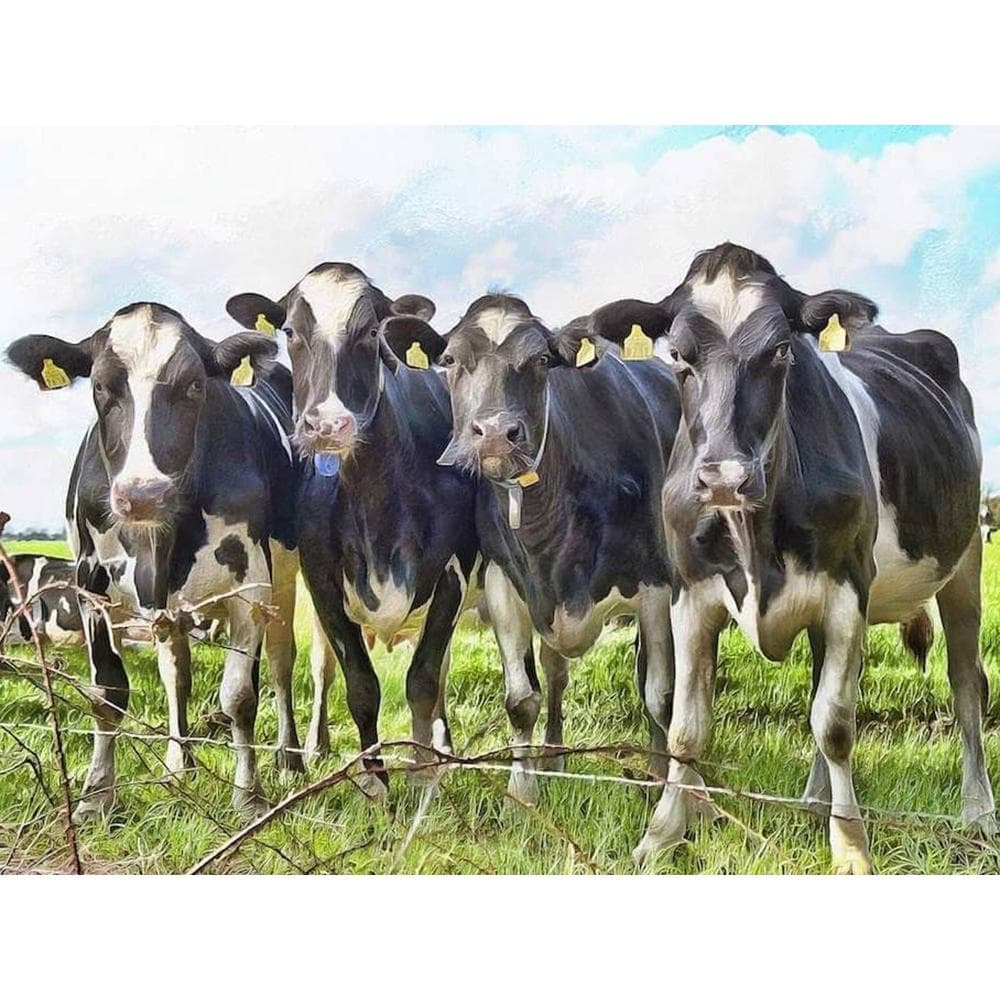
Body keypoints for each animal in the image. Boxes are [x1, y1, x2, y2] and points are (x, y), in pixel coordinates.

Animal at [6, 302, 304, 819]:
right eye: (100, 386)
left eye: (196, 385)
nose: (143, 494)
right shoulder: (91, 585)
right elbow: (109, 693)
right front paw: (96, 798)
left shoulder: (249, 589)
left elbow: (240, 696)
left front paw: (249, 799)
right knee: (176, 674)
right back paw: (178, 764)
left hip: (286, 574)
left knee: (281, 664)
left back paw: (290, 761)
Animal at [226, 264, 479, 792]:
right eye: (290, 331)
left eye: (371, 333)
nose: (327, 425)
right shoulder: (322, 579)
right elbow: (360, 684)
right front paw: (374, 779)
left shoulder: (454, 572)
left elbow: (424, 680)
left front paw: (422, 772)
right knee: (316, 666)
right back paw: (311, 749)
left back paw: (443, 749)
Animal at [381, 294, 680, 803]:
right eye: (450, 360)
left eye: (542, 360)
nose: (495, 433)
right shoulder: (504, 581)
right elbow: (522, 699)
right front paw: (522, 794)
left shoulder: (655, 584)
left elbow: (658, 692)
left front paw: (662, 787)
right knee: (556, 671)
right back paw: (553, 760)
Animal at [589, 242, 995, 871]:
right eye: (677, 354)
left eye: (781, 350)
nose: (724, 477)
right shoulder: (690, 594)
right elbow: (686, 727)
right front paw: (660, 837)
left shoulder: (847, 590)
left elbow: (835, 724)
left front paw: (850, 846)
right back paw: (811, 798)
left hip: (966, 556)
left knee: (965, 680)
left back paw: (977, 811)